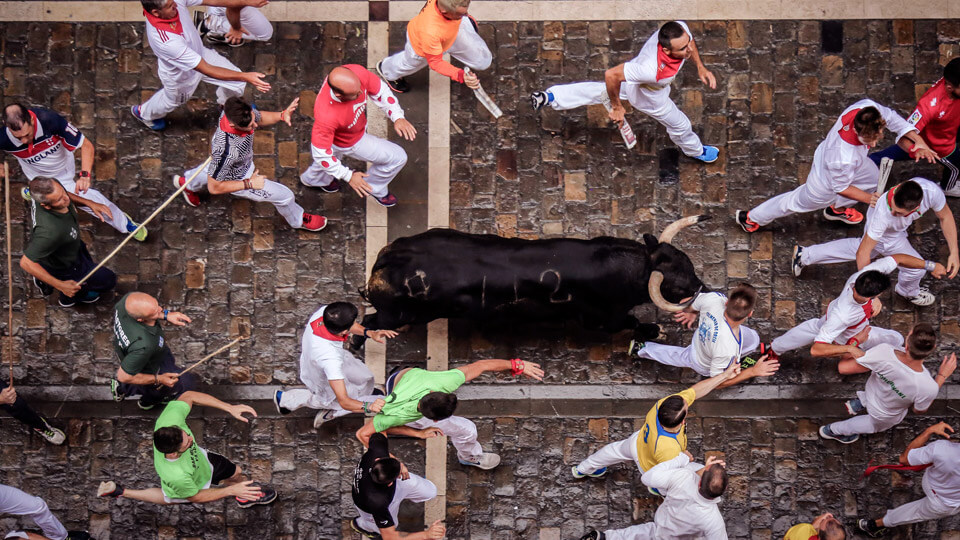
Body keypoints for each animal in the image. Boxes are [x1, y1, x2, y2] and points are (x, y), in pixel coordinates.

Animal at [356, 214, 708, 338]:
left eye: (688, 262)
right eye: (677, 284)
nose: (703, 287)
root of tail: (387, 260)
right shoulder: (599, 320)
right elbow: (630, 323)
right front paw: (654, 330)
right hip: (400, 315)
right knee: (369, 323)